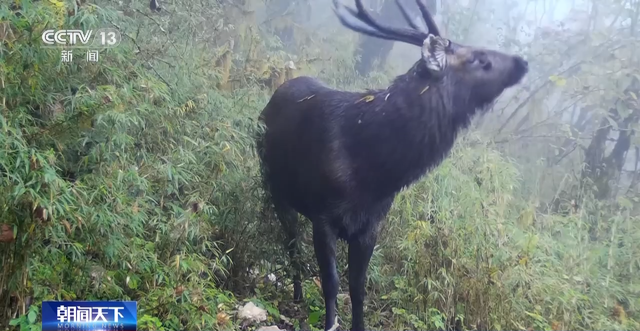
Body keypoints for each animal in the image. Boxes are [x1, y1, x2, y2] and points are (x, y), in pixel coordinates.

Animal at [255, 0, 528, 330]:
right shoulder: (323, 215)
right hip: (275, 186)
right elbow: (331, 283)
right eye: (480, 59)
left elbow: (358, 288)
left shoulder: (370, 227)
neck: (376, 175)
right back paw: (296, 294)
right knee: (292, 244)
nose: (521, 62)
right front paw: (329, 323)